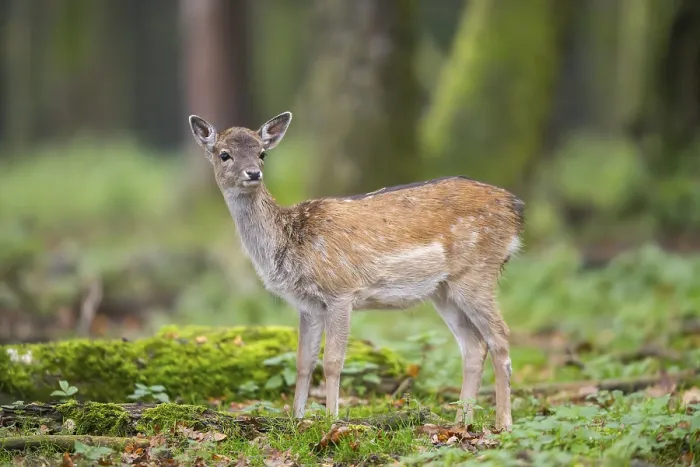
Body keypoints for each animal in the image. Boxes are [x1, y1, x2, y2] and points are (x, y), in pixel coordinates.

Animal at [187, 111, 524, 431]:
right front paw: (296, 420)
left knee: (500, 337)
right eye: (224, 154)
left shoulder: (340, 290)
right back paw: (460, 423)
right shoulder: (308, 305)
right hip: (443, 290)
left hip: (477, 272)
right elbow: (303, 362)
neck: (288, 242)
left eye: (262, 153)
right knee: (473, 346)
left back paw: (503, 424)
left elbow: (333, 361)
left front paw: (330, 420)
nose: (253, 173)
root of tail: (515, 208)